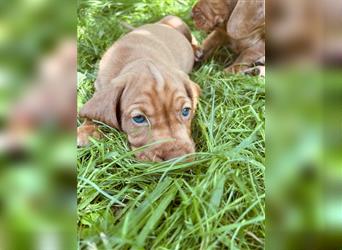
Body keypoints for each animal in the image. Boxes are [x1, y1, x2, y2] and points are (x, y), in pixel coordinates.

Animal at [77, 17, 200, 162]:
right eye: (139, 118)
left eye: (186, 111)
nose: (177, 160)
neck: (137, 59)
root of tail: (158, 23)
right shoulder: (100, 86)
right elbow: (93, 110)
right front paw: (87, 130)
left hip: (176, 20)